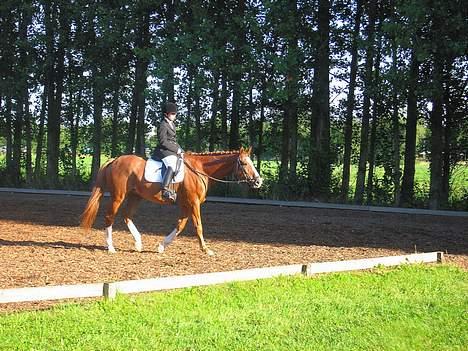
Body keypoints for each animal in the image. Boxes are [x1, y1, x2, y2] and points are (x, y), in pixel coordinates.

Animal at [81, 146, 264, 256]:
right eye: (243, 163)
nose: (258, 181)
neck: (200, 170)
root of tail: (115, 160)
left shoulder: (186, 203)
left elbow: (180, 225)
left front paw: (162, 246)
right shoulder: (193, 202)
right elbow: (198, 226)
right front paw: (206, 250)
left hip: (135, 196)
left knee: (126, 215)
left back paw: (138, 243)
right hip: (118, 196)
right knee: (109, 217)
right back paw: (111, 247)